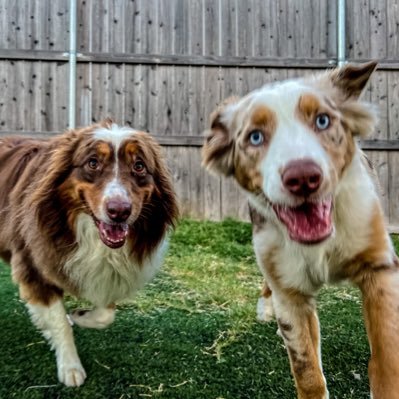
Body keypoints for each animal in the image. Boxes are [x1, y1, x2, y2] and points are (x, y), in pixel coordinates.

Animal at [0, 121, 178, 388]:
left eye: (139, 166)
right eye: (92, 163)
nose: (119, 212)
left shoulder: (106, 273)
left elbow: (106, 314)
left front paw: (80, 315)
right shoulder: (33, 264)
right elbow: (59, 322)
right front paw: (70, 366)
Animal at [203, 61, 399, 398]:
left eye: (322, 120)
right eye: (255, 137)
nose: (303, 177)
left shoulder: (379, 267)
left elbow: (387, 355)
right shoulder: (290, 294)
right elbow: (307, 370)